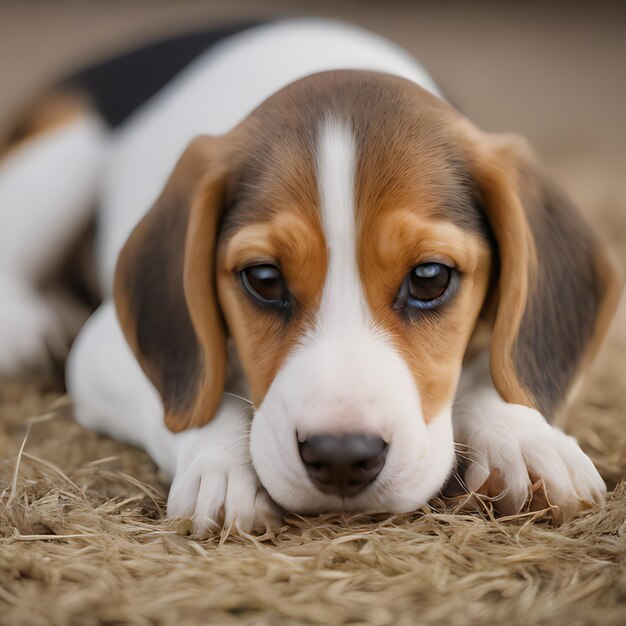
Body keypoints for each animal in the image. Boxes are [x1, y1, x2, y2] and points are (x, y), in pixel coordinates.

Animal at [0, 19, 620, 528]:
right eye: (264, 279)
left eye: (429, 277)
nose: (342, 458)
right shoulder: (103, 348)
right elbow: (201, 394)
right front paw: (223, 467)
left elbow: (498, 365)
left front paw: (523, 435)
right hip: (70, 154)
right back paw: (31, 327)